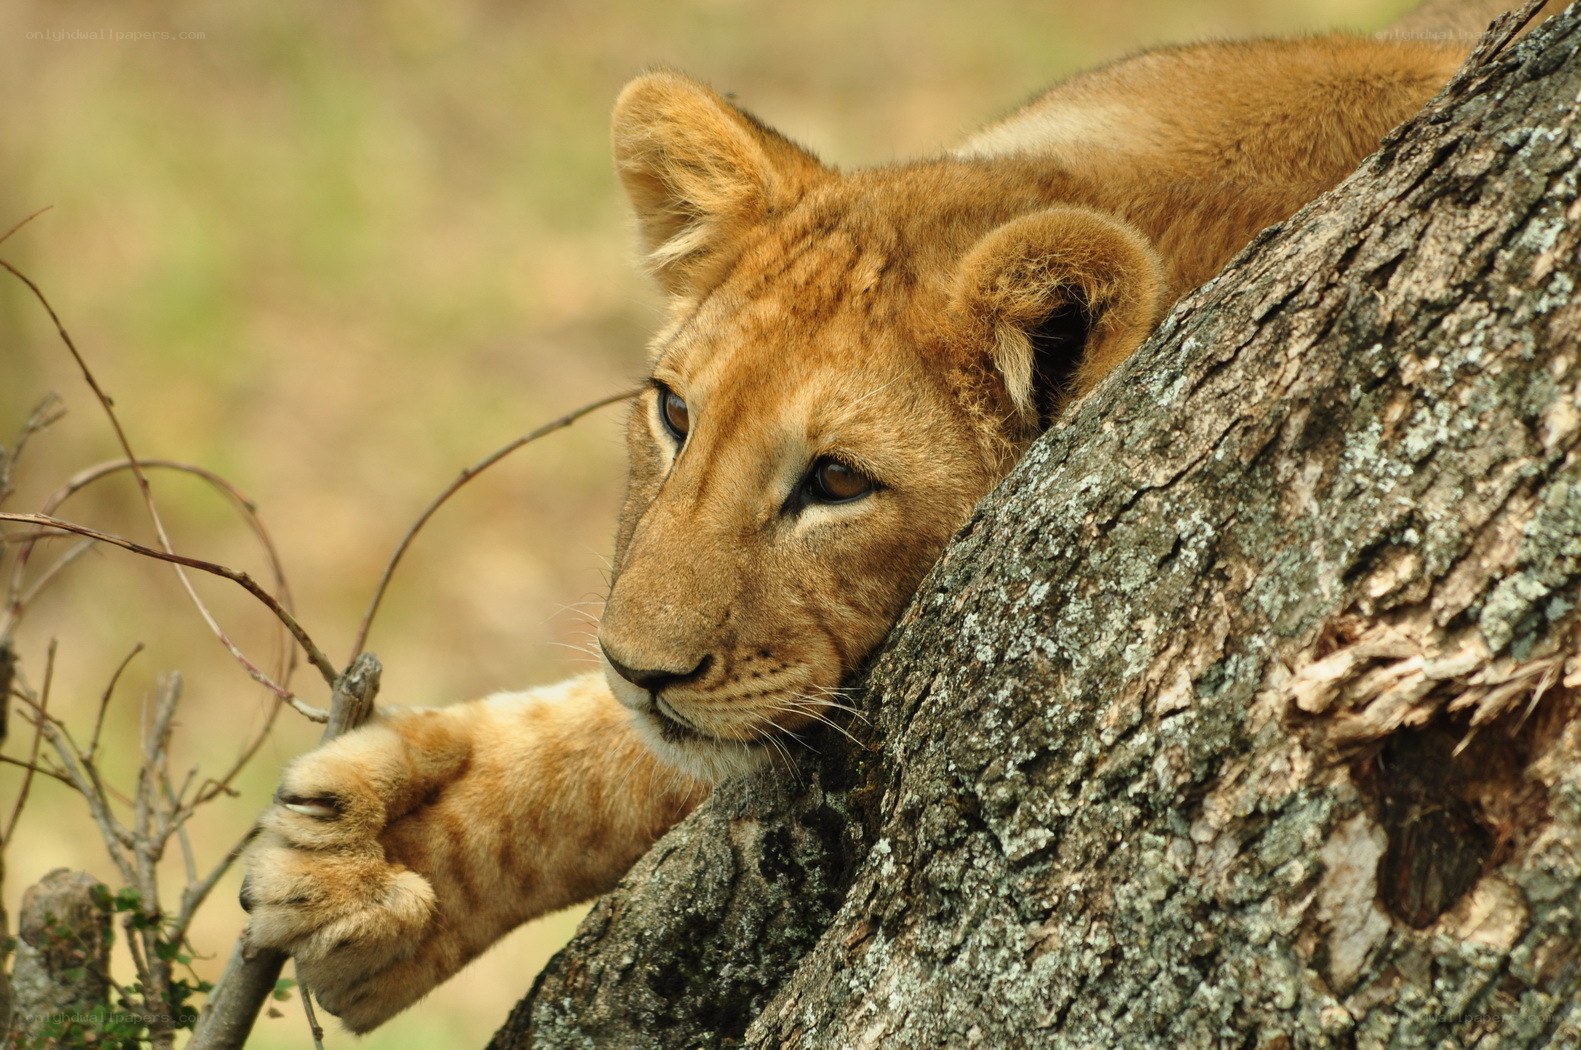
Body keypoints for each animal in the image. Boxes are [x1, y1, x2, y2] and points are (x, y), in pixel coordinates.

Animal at [240, 7, 1522, 1032]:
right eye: (673, 412)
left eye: (839, 484)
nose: (636, 663)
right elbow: (608, 743)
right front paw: (363, 843)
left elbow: (648, 760)